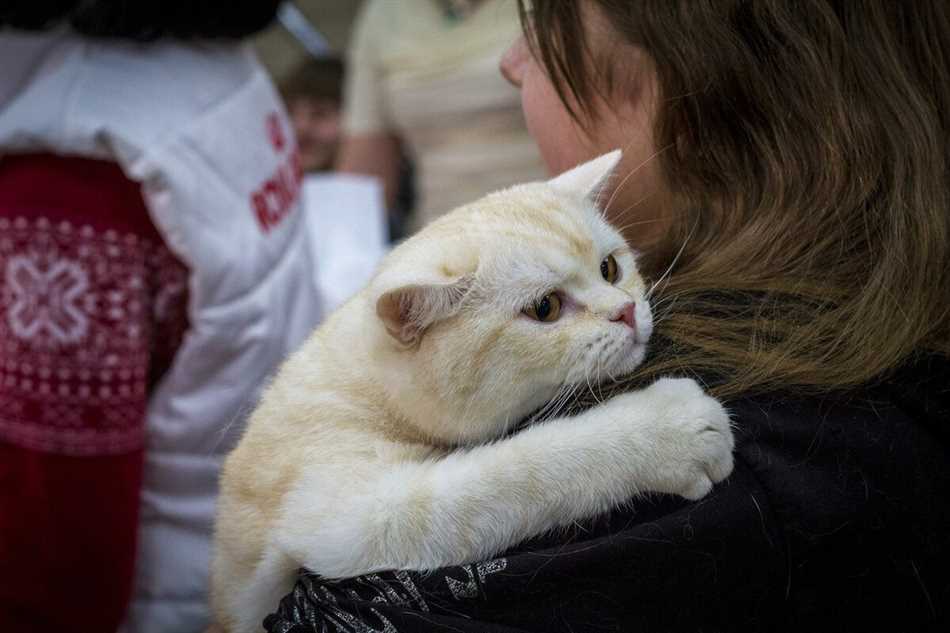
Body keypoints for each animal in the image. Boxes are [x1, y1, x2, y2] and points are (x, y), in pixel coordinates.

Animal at [212, 153, 736, 632]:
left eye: (610, 269)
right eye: (545, 308)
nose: (626, 311)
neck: (364, 385)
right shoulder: (352, 514)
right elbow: (525, 469)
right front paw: (666, 431)